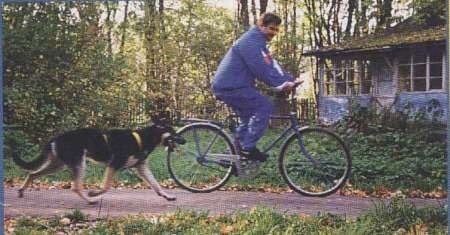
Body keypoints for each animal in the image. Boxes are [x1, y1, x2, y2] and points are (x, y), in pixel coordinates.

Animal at [12, 119, 185, 204]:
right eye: (174, 132)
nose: (185, 140)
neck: (144, 138)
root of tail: (55, 138)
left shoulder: (141, 167)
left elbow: (156, 185)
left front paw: (167, 196)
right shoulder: (114, 165)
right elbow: (106, 187)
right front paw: (94, 192)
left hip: (58, 165)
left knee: (33, 173)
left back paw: (21, 191)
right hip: (79, 164)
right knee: (75, 187)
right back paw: (89, 200)